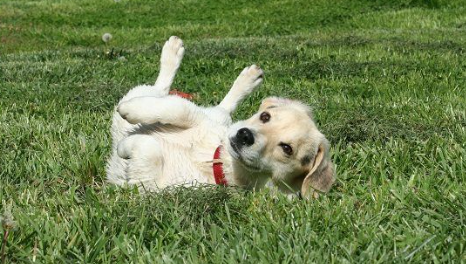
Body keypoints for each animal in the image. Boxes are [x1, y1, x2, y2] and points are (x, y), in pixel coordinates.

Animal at [108, 35, 334, 198]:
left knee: (162, 89)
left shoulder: (152, 190)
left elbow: (148, 149)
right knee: (184, 97)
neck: (213, 158)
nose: (245, 135)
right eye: (265, 116)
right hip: (212, 116)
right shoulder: (198, 120)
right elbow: (179, 108)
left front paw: (124, 146)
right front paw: (132, 110)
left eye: (287, 149)